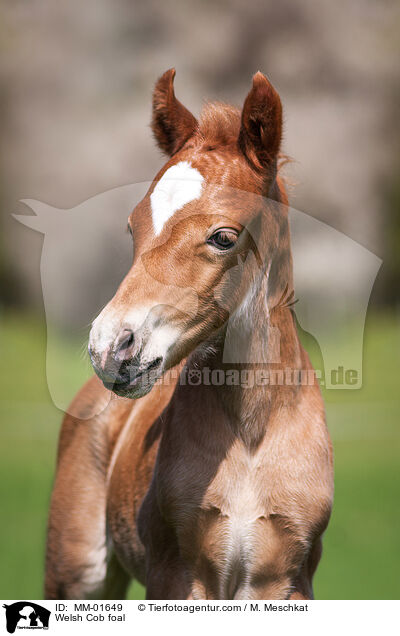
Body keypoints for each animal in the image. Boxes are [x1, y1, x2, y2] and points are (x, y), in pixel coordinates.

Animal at [45, 71, 334, 600]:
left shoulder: (287, 580)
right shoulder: (176, 574)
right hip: (77, 574)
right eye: (133, 227)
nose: (109, 347)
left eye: (223, 236)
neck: (250, 437)